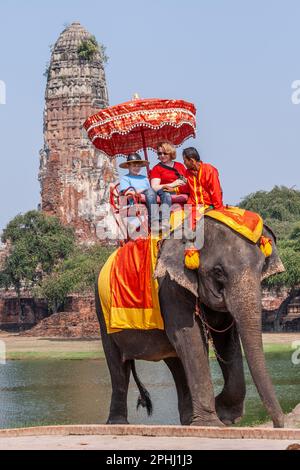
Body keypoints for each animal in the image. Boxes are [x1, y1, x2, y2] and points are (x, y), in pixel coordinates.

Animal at [95, 218, 284, 428]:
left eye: (261, 267)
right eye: (218, 272)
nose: (278, 425)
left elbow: (225, 338)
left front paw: (224, 415)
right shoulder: (171, 287)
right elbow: (190, 338)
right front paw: (212, 423)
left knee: (176, 361)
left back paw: (188, 420)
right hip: (103, 314)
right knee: (118, 364)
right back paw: (118, 424)